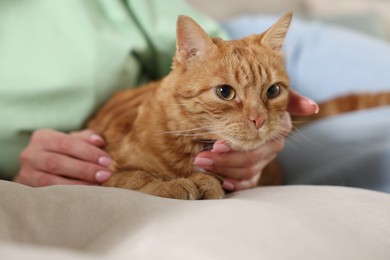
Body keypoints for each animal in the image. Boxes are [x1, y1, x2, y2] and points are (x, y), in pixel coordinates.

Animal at [86, 13, 292, 199]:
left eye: (273, 91)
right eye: (225, 92)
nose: (259, 119)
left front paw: (205, 182)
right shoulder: (105, 174)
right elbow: (138, 177)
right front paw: (173, 185)